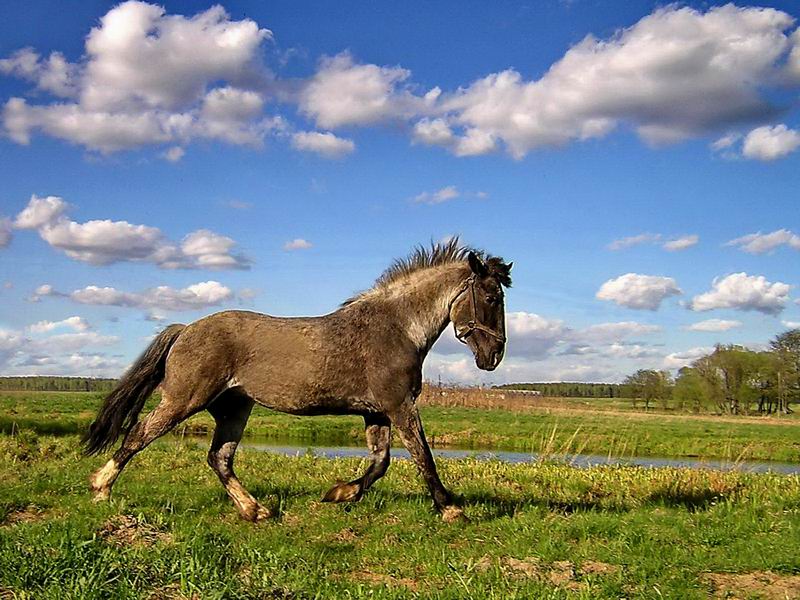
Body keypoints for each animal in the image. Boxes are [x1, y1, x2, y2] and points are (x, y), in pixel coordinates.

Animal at [84, 238, 512, 520]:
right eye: (492, 297)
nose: (494, 356)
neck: (397, 329)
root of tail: (186, 328)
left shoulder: (377, 412)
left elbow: (381, 462)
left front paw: (339, 494)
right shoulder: (399, 406)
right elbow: (423, 456)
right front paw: (452, 509)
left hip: (234, 408)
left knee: (219, 457)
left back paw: (255, 510)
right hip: (183, 400)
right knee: (139, 435)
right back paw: (100, 488)